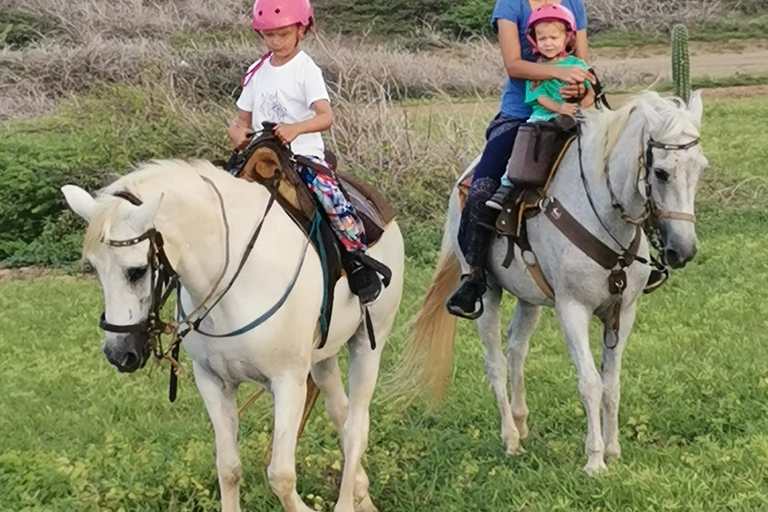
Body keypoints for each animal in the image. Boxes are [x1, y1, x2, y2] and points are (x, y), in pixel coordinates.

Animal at [63, 161, 404, 512]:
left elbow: (281, 476)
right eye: (94, 269)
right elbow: (228, 468)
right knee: (341, 414)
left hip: (368, 344)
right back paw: (363, 496)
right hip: (323, 357)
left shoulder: (288, 383)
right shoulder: (213, 382)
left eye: (137, 271)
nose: (119, 353)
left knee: (356, 428)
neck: (234, 278)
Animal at [402, 91, 708, 476]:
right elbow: (590, 383)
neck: (600, 211)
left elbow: (612, 384)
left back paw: (521, 422)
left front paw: (613, 450)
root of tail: (465, 179)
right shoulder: (571, 309)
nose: (684, 250)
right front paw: (594, 460)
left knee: (516, 348)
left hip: (528, 297)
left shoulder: (623, 311)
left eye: (701, 169)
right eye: (661, 172)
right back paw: (510, 439)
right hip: (488, 293)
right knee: (495, 361)